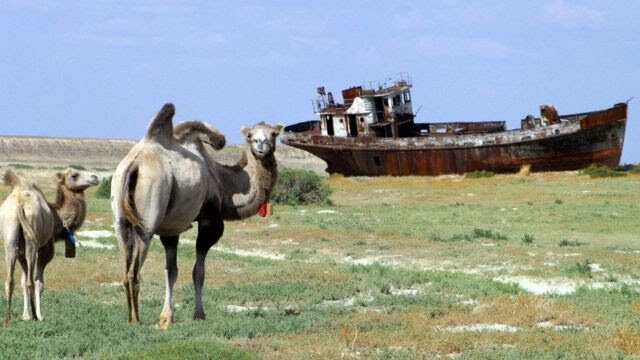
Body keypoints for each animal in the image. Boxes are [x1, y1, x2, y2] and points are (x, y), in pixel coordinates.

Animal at [1, 167, 99, 324]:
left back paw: (7, 319)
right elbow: (39, 283)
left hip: (9, 238)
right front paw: (38, 315)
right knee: (31, 281)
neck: (57, 217)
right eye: (74, 175)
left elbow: (22, 281)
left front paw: (25, 316)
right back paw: (35, 316)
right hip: (32, 241)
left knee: (10, 280)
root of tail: (20, 204)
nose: (95, 177)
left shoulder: (20, 251)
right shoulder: (46, 248)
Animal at [111, 102, 282, 328]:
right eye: (250, 135)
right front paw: (199, 314)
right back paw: (136, 320)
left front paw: (166, 317)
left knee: (124, 265)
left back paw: (130, 317)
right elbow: (198, 271)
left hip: (120, 219)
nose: (261, 144)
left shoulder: (171, 228)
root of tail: (134, 164)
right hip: (147, 219)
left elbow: (171, 271)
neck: (222, 182)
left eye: (274, 134)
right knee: (134, 271)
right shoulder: (210, 219)